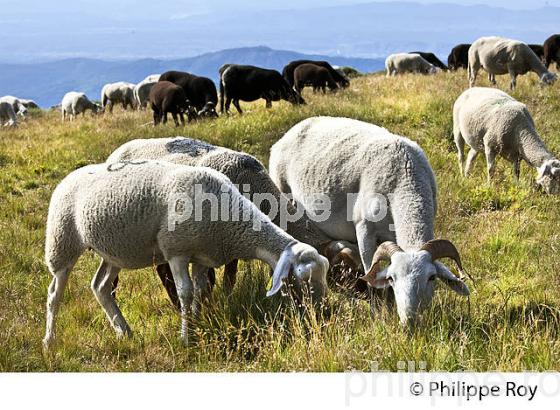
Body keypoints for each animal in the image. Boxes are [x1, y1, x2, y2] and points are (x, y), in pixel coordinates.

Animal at [44, 160, 332, 346]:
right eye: (303, 278)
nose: (322, 315)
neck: (229, 218)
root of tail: (68, 177)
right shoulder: (176, 251)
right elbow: (185, 292)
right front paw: (185, 337)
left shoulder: (202, 255)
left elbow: (200, 288)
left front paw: (196, 323)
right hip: (62, 239)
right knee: (55, 293)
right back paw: (50, 340)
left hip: (113, 251)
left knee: (101, 286)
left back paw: (124, 331)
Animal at [107, 138, 356, 308]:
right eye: (343, 272)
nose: (362, 298)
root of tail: (117, 151)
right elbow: (213, 278)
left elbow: (230, 275)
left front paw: (225, 296)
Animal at [270, 116, 470, 326]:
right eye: (392, 278)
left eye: (432, 278)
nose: (409, 321)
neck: (406, 180)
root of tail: (290, 132)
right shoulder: (365, 230)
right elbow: (370, 273)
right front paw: (377, 314)